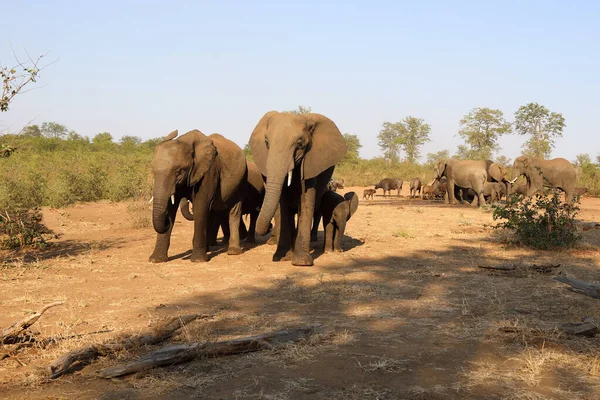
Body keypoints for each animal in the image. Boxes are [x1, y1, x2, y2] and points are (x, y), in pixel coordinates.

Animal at [149, 130, 246, 264]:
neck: (185, 142)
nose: (166, 221)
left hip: (241, 182)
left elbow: (200, 206)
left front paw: (198, 260)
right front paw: (155, 260)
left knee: (234, 211)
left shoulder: (209, 171)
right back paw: (208, 249)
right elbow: (171, 207)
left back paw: (233, 252)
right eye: (153, 171)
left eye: (178, 172)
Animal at [250, 111, 346, 266]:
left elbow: (306, 200)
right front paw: (282, 257)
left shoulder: (311, 162)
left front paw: (301, 263)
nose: (267, 228)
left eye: (300, 144)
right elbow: (283, 206)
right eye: (266, 143)